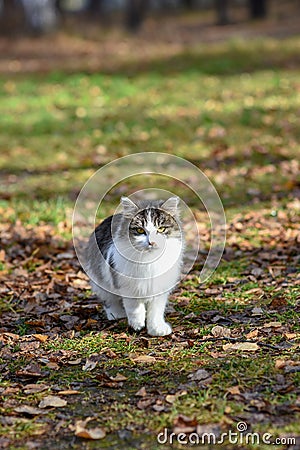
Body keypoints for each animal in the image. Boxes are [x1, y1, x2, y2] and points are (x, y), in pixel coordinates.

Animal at [85, 195, 184, 336]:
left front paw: (156, 329)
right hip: (102, 282)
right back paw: (116, 314)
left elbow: (156, 311)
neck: (149, 260)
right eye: (140, 230)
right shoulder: (127, 286)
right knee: (109, 301)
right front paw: (137, 324)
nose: (152, 242)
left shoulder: (159, 288)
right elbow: (134, 307)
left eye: (161, 229)